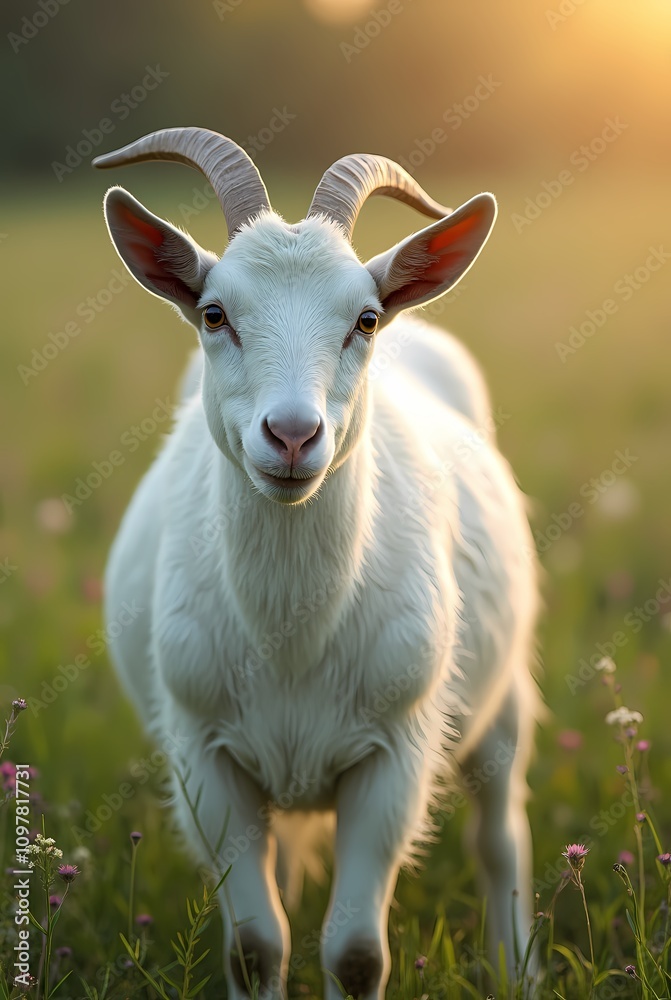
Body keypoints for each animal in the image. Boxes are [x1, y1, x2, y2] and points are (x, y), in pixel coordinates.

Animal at [94, 127, 539, 1000]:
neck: (293, 634)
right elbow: (254, 944)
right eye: (214, 313)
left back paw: (518, 969)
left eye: (363, 319)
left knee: (499, 831)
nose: (293, 436)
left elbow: (356, 952)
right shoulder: (205, 756)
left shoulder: (393, 754)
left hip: (498, 693)